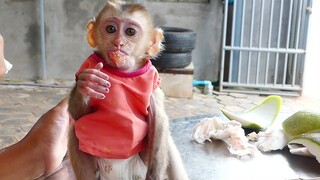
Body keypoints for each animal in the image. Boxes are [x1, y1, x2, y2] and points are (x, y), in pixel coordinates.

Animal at [67, 0, 188, 179]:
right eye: (111, 29)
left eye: (130, 32)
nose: (118, 43)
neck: (124, 71)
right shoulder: (86, 66)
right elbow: (78, 114)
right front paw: (87, 84)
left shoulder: (154, 81)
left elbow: (158, 121)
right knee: (76, 128)